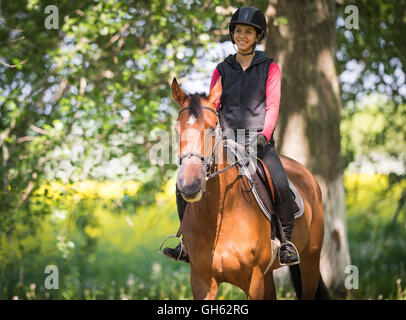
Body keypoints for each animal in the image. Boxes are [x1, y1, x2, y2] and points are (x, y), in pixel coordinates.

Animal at [170, 77, 326, 300]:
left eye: (212, 128)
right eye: (177, 131)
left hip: (310, 261)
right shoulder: (201, 282)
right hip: (269, 274)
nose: (190, 184)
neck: (219, 215)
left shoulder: (253, 280)